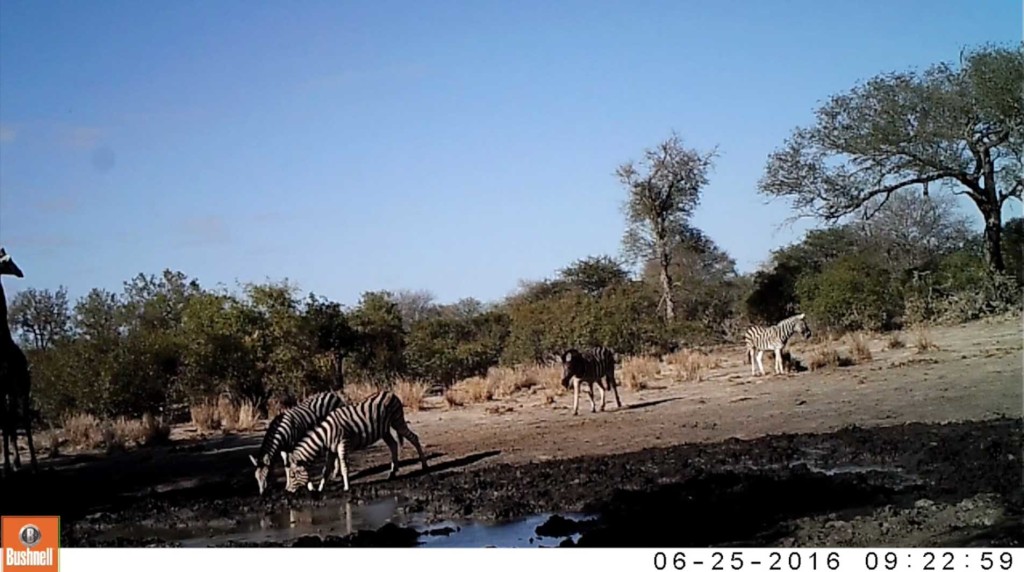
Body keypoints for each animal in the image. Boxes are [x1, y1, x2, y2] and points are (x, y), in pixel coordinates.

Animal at [282, 390, 425, 495]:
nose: (287, 491)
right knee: (393, 445)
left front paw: (346, 487)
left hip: (397, 421)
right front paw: (320, 489)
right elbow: (325, 470)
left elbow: (344, 467)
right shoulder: (331, 450)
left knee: (414, 438)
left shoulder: (343, 444)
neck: (325, 436)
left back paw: (424, 465)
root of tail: (390, 392)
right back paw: (392, 472)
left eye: (293, 475)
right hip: (384, 430)